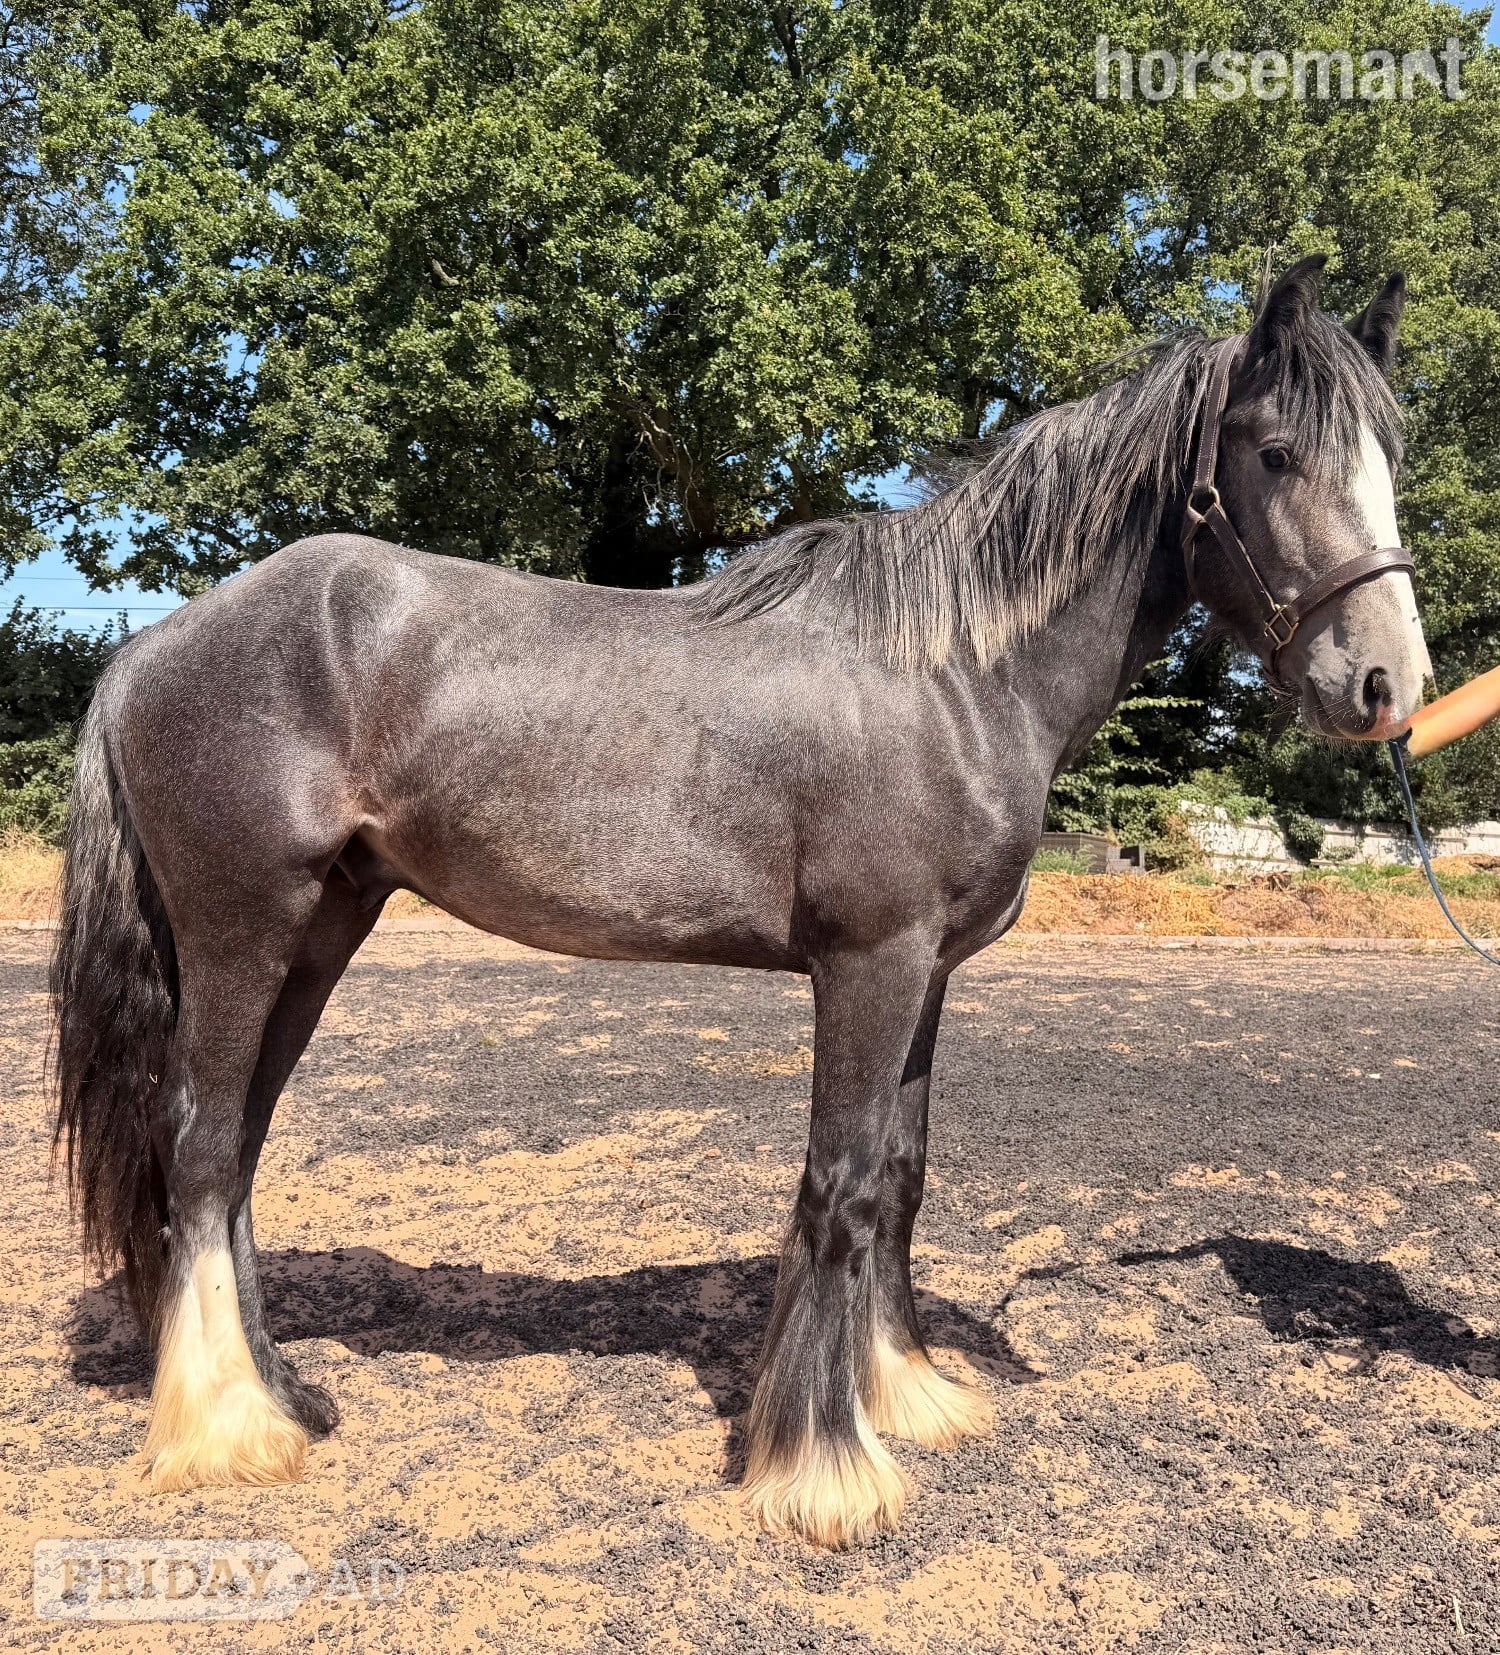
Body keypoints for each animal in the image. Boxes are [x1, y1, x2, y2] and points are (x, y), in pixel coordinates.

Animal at [52, 254, 1432, 1548]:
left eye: (1392, 454)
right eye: (1276, 452)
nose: (1387, 684)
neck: (954, 674)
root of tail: (149, 647)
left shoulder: (927, 974)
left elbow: (898, 1176)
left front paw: (906, 1391)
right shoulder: (869, 964)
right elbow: (839, 1184)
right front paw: (824, 1467)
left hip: (324, 928)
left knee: (235, 1153)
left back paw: (285, 1395)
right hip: (244, 931)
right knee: (202, 1143)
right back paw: (228, 1427)